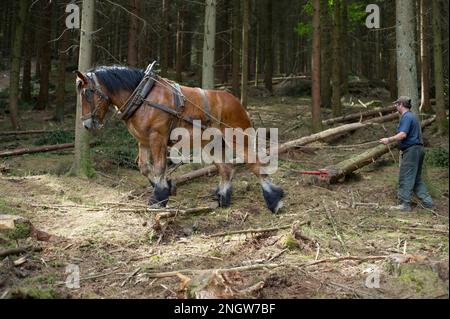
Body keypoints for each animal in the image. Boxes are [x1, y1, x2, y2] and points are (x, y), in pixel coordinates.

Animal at [75, 65, 284, 212]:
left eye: (87, 93)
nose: (87, 125)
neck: (143, 96)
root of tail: (238, 103)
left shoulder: (157, 137)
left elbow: (159, 167)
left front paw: (158, 197)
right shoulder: (143, 141)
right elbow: (144, 168)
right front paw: (166, 188)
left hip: (238, 138)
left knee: (255, 164)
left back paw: (275, 200)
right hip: (214, 144)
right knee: (226, 169)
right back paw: (223, 199)